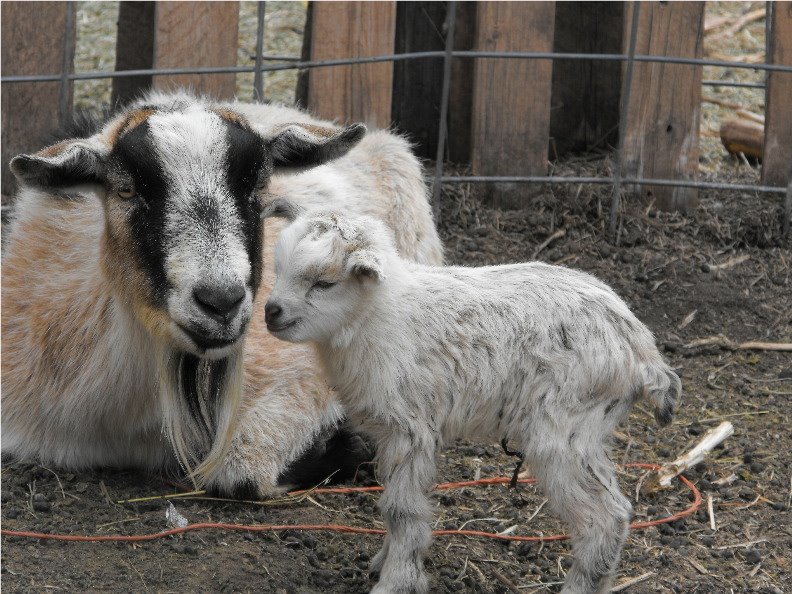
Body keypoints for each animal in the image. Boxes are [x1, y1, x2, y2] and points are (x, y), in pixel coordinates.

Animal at [1, 90, 443, 497]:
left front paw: (348, 444)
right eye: (126, 190)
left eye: (259, 186)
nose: (221, 301)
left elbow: (240, 473)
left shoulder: (304, 363)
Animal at [264, 208, 680, 594]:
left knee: (604, 519)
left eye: (324, 283)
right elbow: (392, 504)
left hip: (564, 430)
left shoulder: (410, 428)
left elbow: (402, 510)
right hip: (587, 431)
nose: (271, 312)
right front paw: (384, 562)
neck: (378, 316)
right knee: (619, 510)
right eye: (279, 270)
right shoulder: (389, 433)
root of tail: (640, 348)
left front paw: (396, 580)